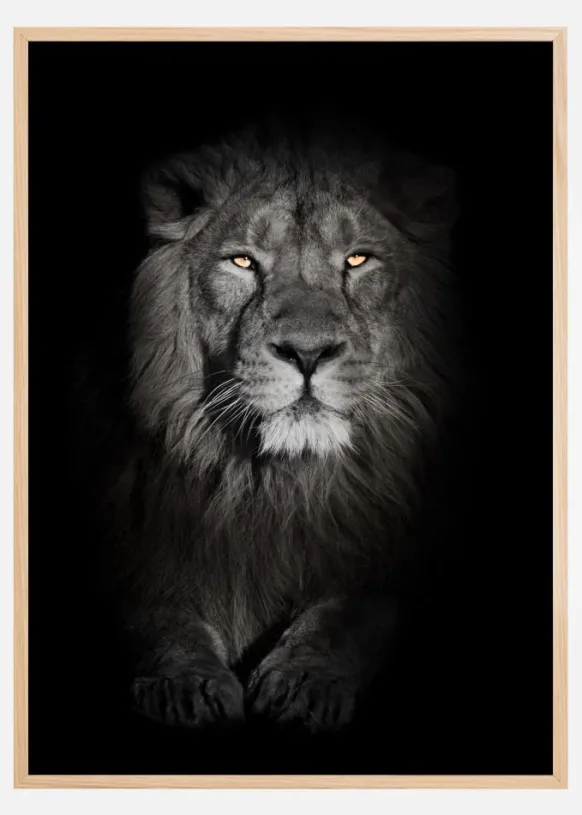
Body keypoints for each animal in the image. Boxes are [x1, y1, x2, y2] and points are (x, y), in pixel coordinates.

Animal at [109, 119, 458, 734]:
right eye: (243, 262)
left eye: (358, 260)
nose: (308, 352)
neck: (276, 484)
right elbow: (156, 613)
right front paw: (186, 685)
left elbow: (351, 612)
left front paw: (304, 682)